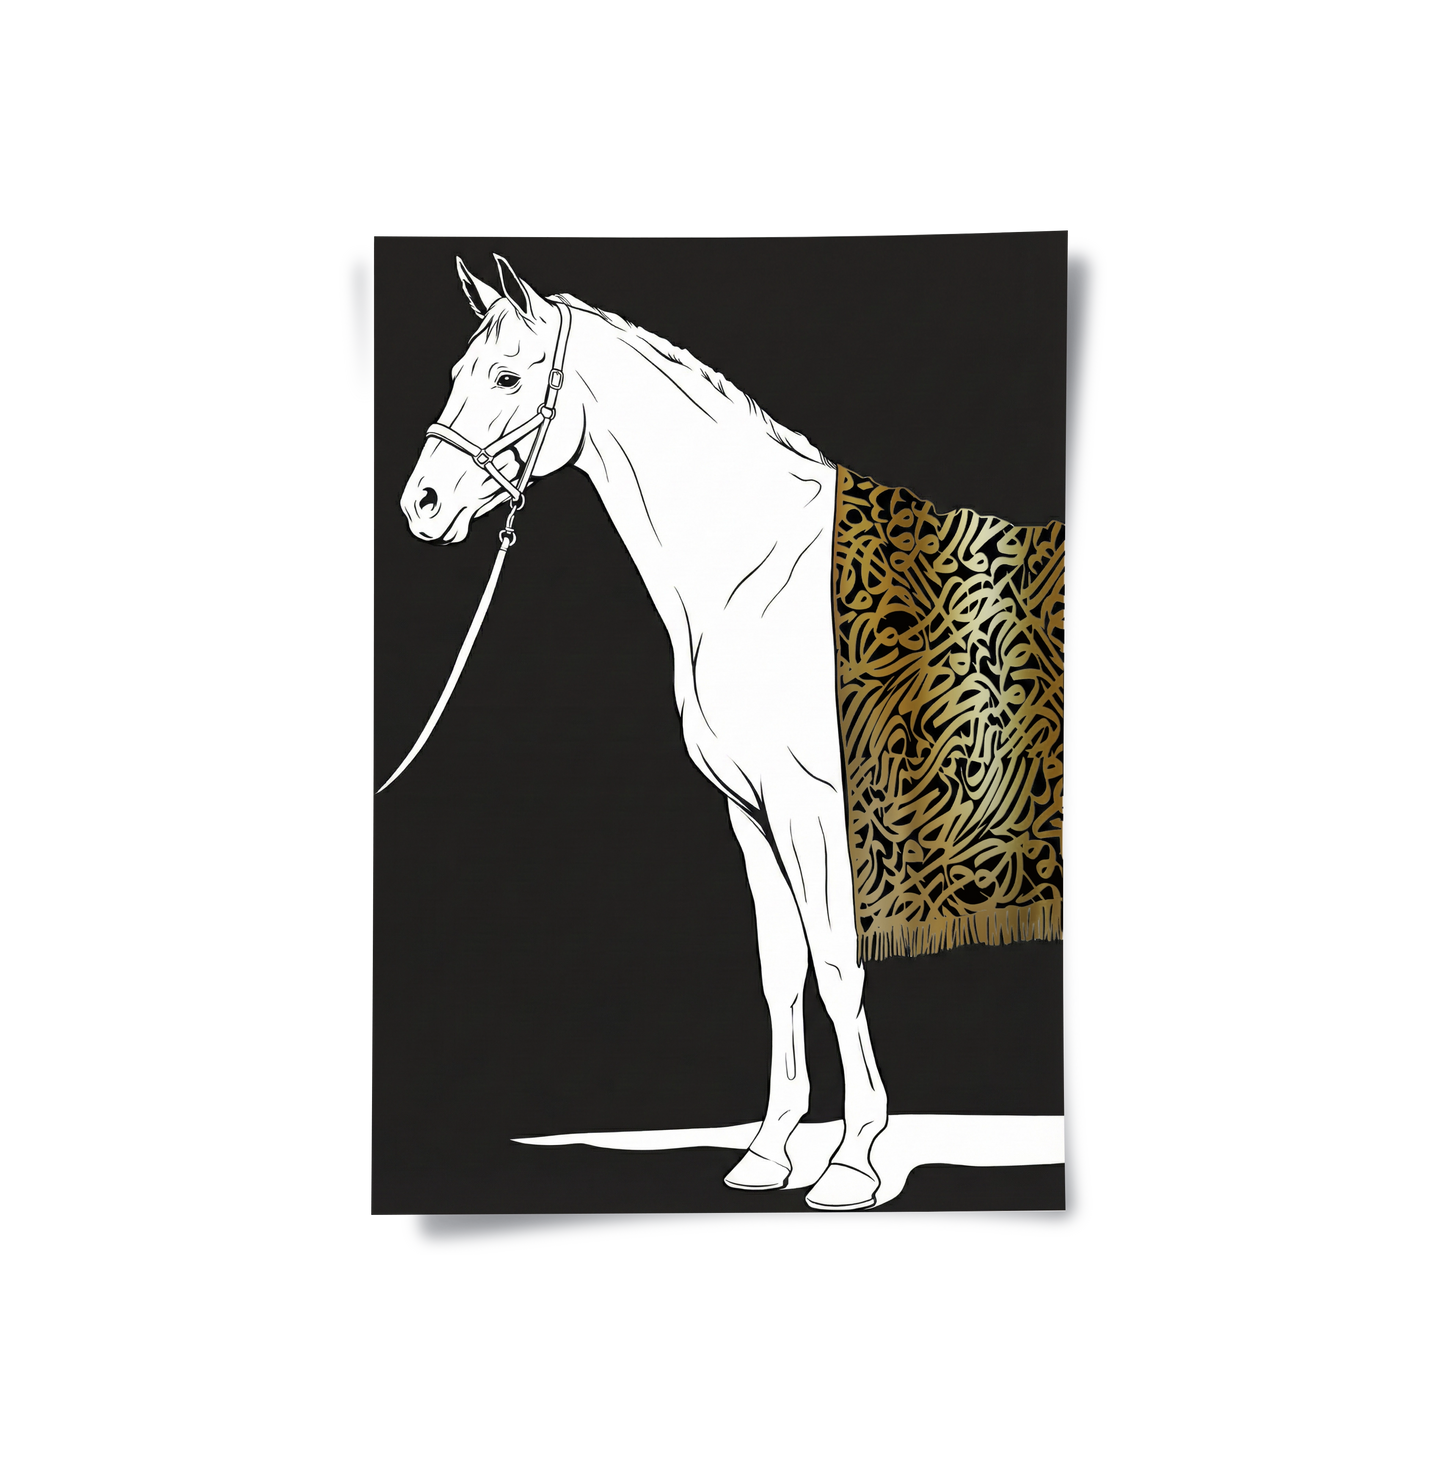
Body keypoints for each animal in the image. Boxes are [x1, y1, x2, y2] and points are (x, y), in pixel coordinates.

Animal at [395, 253, 890, 1210]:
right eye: (456, 372)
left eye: (506, 378)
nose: (421, 505)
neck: (760, 576)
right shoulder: (752, 811)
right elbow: (782, 969)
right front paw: (768, 1153)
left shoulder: (815, 809)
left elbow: (837, 963)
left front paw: (853, 1161)